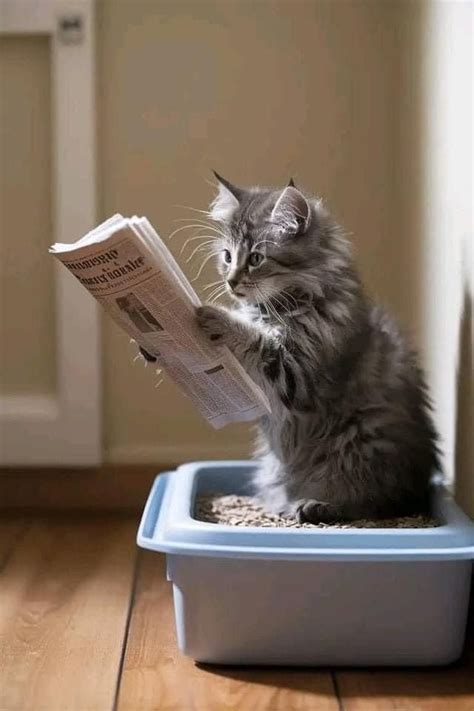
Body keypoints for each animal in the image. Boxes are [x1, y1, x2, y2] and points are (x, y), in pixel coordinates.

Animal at [194, 174, 438, 524]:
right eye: (227, 256)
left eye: (256, 258)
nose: (230, 282)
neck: (284, 307)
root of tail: (418, 493)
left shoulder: (299, 379)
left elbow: (257, 342)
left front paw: (216, 316)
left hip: (359, 445)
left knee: (369, 504)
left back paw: (313, 506)